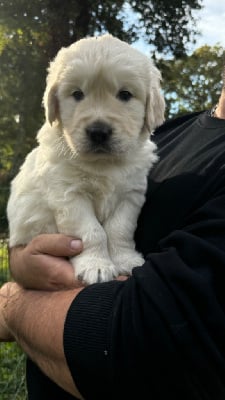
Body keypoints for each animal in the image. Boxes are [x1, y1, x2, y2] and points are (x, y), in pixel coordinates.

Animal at [7, 34, 165, 284]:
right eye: (77, 94)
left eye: (125, 95)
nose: (98, 132)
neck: (104, 164)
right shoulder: (69, 195)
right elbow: (92, 232)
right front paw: (96, 266)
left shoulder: (130, 196)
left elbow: (120, 229)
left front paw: (126, 260)